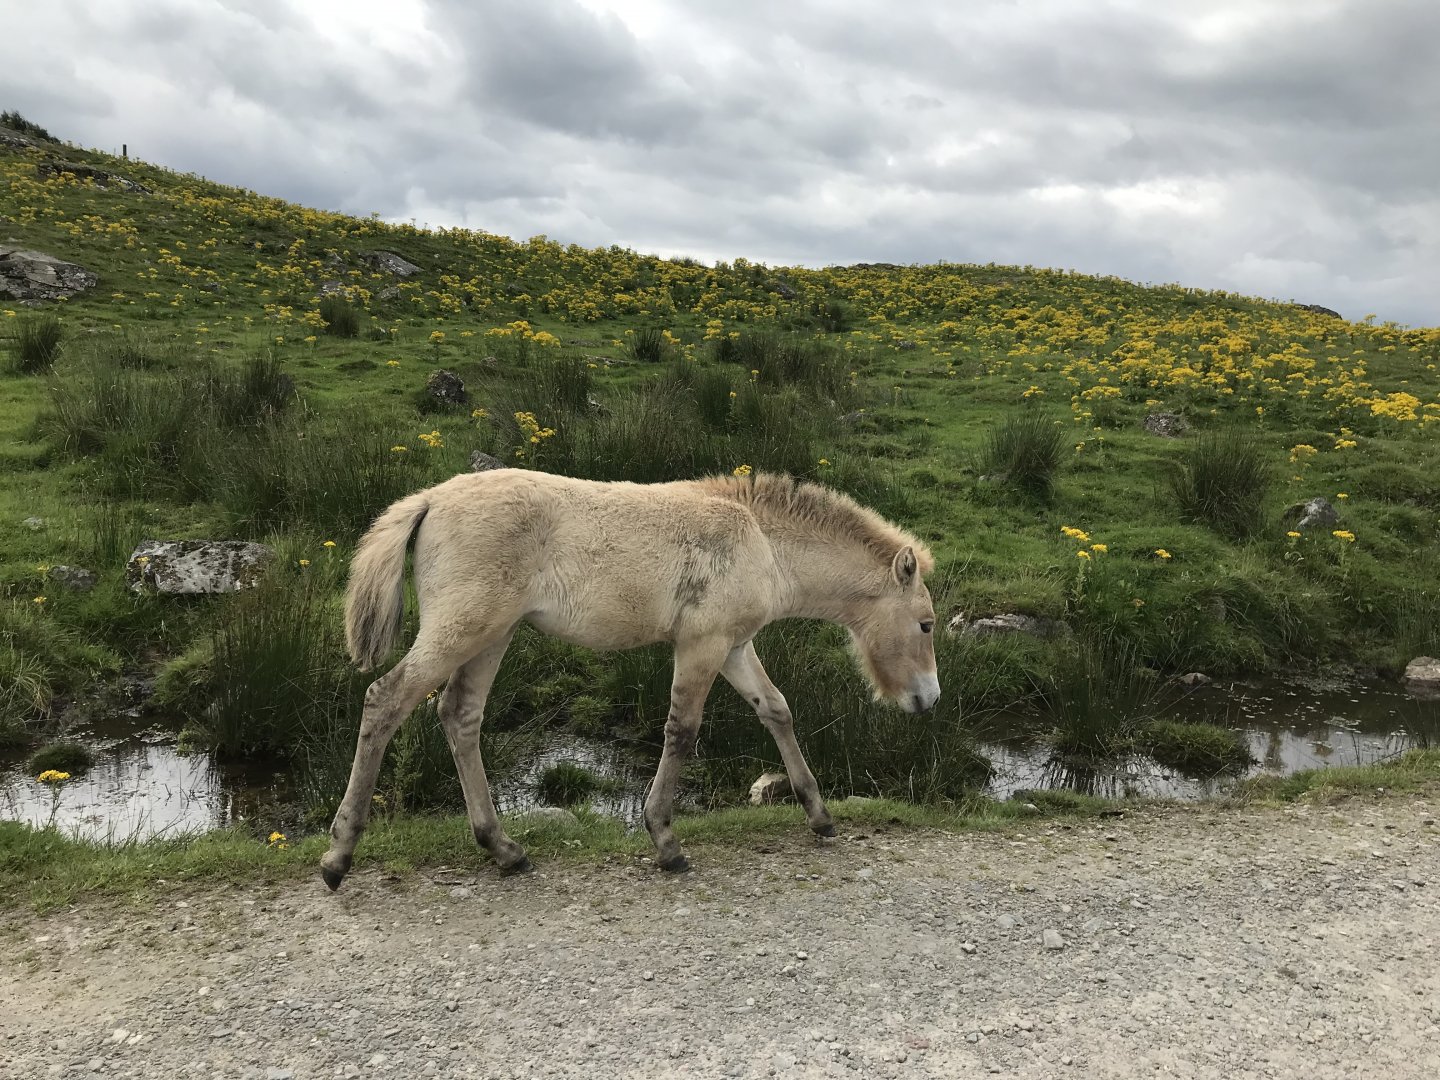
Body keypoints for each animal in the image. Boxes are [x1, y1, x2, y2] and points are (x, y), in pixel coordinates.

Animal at [320, 470, 940, 891]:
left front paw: (819, 814)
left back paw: (504, 849)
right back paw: (338, 856)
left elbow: (777, 710)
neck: (763, 542)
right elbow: (682, 731)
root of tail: (431, 499)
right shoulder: (702, 645)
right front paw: (664, 840)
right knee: (385, 701)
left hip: (492, 636)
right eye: (927, 624)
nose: (929, 699)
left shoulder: (735, 646)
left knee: (459, 717)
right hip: (464, 630)